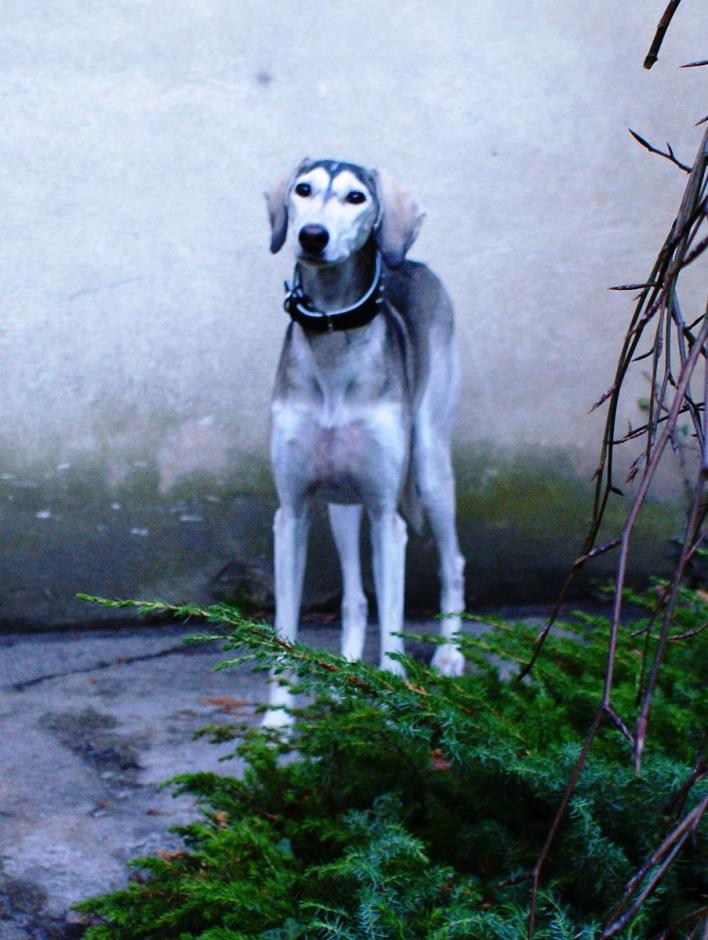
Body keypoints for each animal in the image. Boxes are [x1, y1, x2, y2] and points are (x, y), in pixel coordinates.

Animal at [262, 158, 468, 724]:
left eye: (357, 197)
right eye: (302, 189)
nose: (313, 236)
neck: (334, 335)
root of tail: (412, 262)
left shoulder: (384, 515)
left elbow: (393, 625)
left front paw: (393, 701)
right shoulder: (292, 512)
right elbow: (286, 628)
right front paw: (277, 720)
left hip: (430, 464)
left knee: (453, 563)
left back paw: (449, 655)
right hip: (341, 501)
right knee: (354, 598)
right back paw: (348, 675)